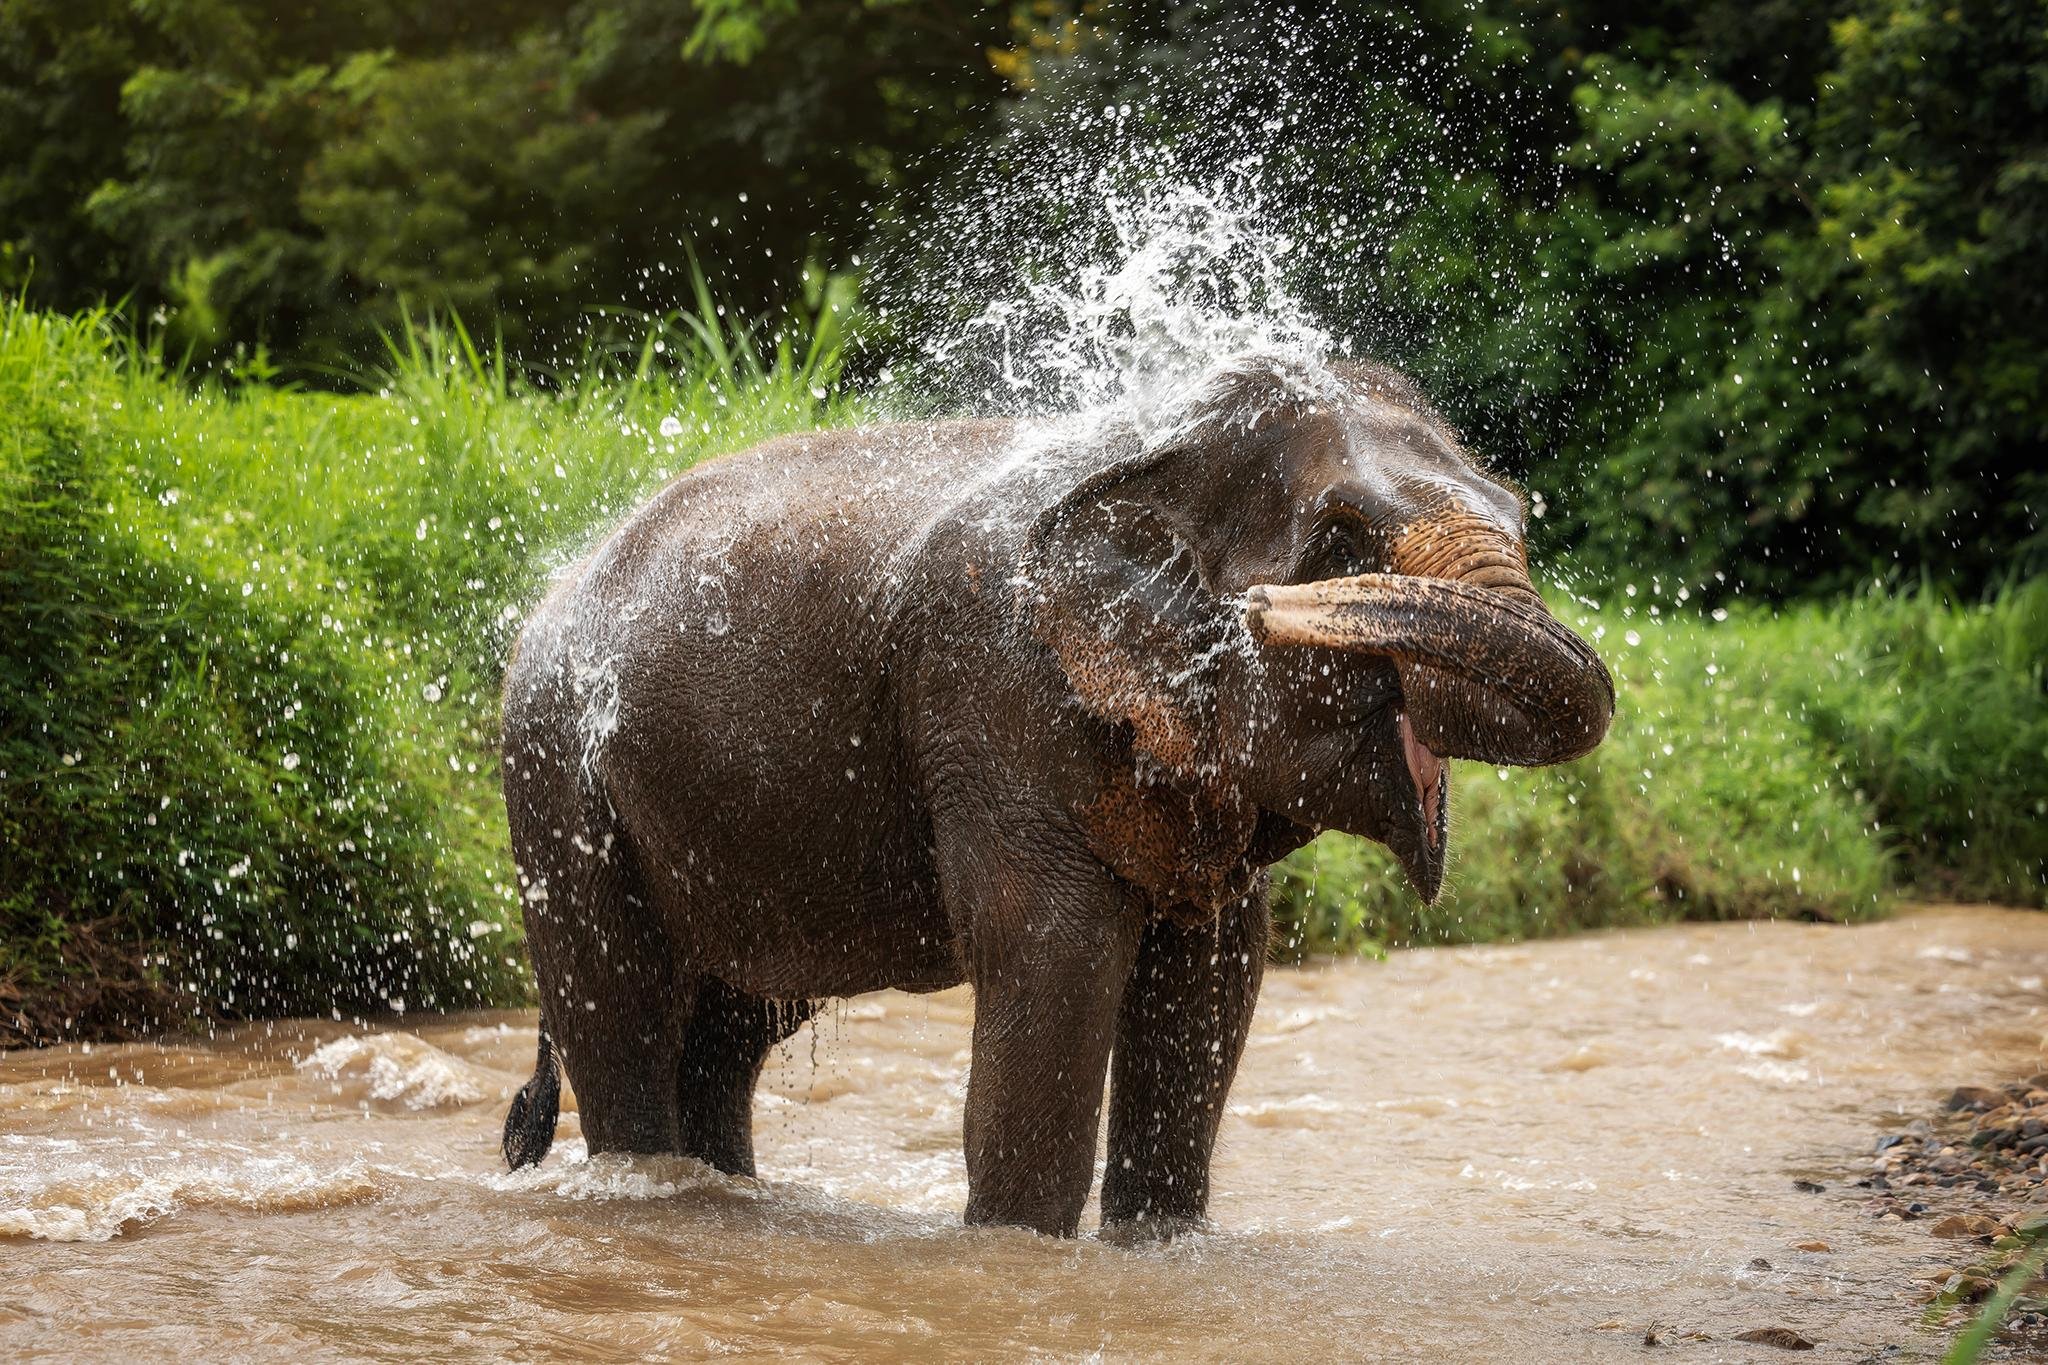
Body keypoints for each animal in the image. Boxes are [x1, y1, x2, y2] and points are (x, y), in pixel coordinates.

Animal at [496, 355, 1613, 1239]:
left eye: (1518, 512)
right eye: (1341, 538)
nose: (1266, 606)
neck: (1165, 442)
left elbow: (1213, 981)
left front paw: (1156, 1249)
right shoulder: (995, 695)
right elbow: (1054, 956)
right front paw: (1017, 1251)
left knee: (728, 1033)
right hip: (555, 778)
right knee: (622, 1011)